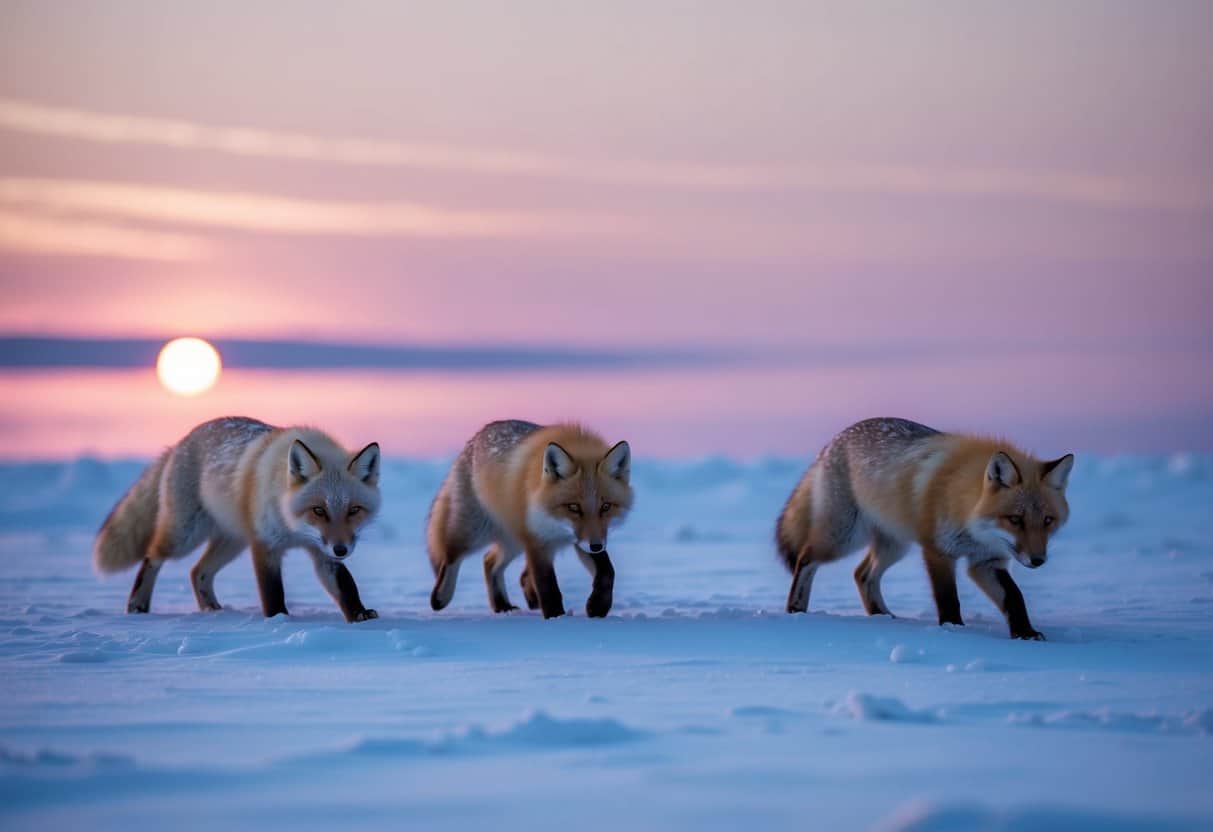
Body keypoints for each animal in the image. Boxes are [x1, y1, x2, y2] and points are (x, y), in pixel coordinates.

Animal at [92, 416, 382, 622]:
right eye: (319, 510)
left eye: (354, 510)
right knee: (152, 556)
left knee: (198, 571)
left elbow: (346, 587)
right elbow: (272, 591)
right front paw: (279, 620)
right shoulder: (265, 545)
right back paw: (137, 605)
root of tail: (181, 442)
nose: (341, 549)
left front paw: (360, 616)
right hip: (184, 536)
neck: (293, 527)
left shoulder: (321, 551)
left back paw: (212, 610)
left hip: (232, 542)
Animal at [427, 420, 633, 619]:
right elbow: (548, 586)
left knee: (489, 561)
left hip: (514, 540)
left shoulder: (582, 538)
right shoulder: (537, 541)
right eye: (574, 507)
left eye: (606, 507)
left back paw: (502, 606)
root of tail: (473, 440)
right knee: (451, 555)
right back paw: (440, 597)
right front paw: (556, 617)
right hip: (475, 532)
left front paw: (598, 607)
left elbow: (607, 572)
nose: (596, 546)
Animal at [776, 417, 1074, 640]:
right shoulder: (938, 551)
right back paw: (796, 609)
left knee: (862, 574)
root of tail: (833, 442)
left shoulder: (986, 561)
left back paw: (881, 616)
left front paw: (1025, 634)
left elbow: (1014, 597)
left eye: (1048, 521)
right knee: (806, 558)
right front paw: (954, 629)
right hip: (843, 538)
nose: (1038, 560)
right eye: (1015, 519)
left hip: (894, 545)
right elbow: (948, 597)